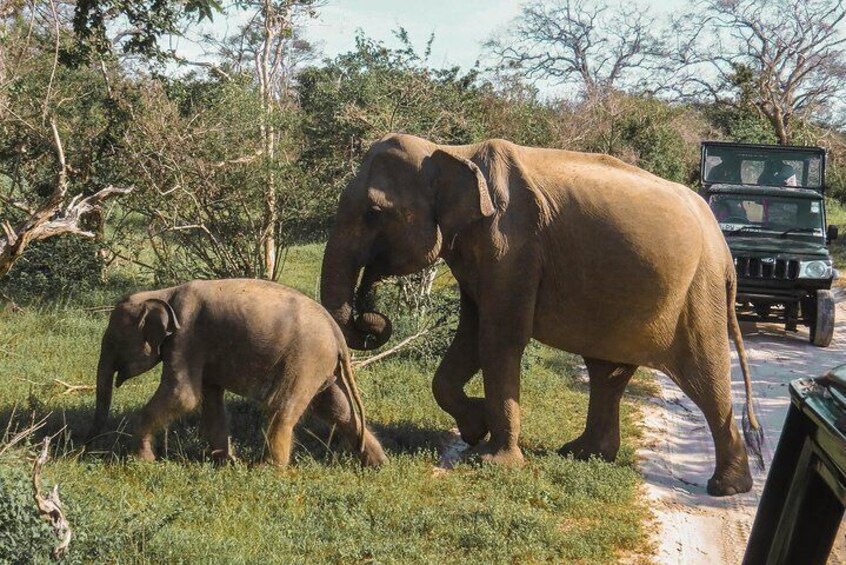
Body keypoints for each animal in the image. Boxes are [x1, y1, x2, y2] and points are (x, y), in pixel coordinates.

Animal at [88, 278, 388, 468]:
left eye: (113, 341)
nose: (91, 444)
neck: (164, 294)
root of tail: (337, 334)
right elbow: (209, 400)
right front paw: (225, 461)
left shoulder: (185, 336)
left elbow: (182, 395)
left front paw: (143, 460)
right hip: (320, 365)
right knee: (337, 409)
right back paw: (378, 464)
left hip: (305, 359)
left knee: (282, 407)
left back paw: (267, 469)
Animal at [320, 132, 760, 494]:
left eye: (374, 213)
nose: (371, 315)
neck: (452, 151)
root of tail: (724, 252)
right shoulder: (483, 252)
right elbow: (471, 335)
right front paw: (475, 429)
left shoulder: (511, 245)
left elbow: (498, 338)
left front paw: (493, 462)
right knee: (608, 374)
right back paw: (582, 453)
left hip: (698, 292)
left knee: (704, 377)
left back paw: (726, 487)